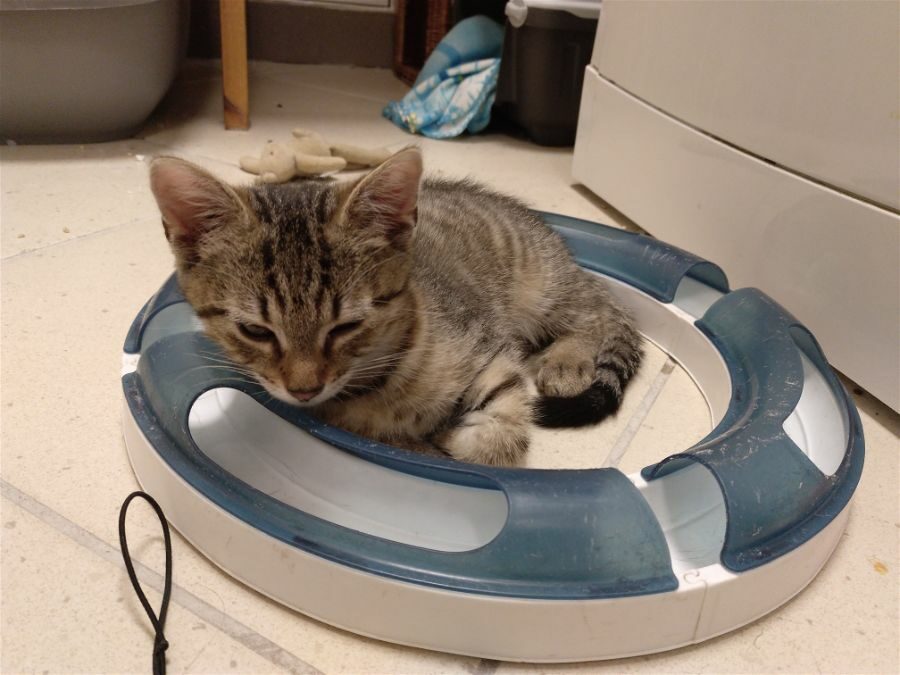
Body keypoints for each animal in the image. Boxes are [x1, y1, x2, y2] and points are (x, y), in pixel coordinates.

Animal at [148, 148, 643, 466]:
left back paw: (567, 359)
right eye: (256, 331)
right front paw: (426, 439)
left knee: (595, 312)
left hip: (541, 288)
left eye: (345, 326)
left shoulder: (490, 347)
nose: (304, 390)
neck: (376, 383)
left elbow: (498, 436)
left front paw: (452, 436)